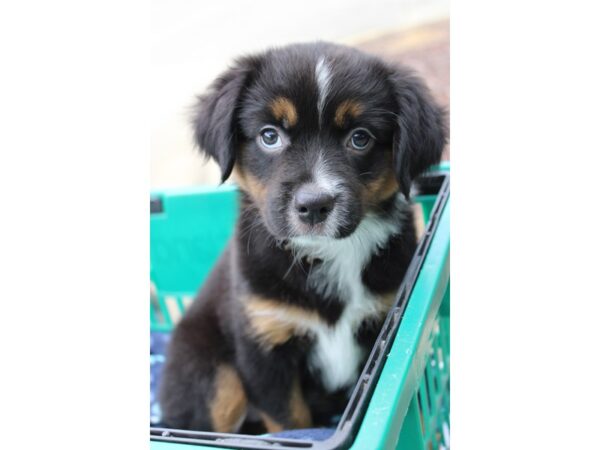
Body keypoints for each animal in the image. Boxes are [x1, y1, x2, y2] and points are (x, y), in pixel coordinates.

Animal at [157, 41, 448, 432]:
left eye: (360, 138)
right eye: (270, 136)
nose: (314, 206)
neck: (330, 253)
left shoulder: (382, 320)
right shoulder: (264, 344)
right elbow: (290, 421)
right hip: (212, 372)